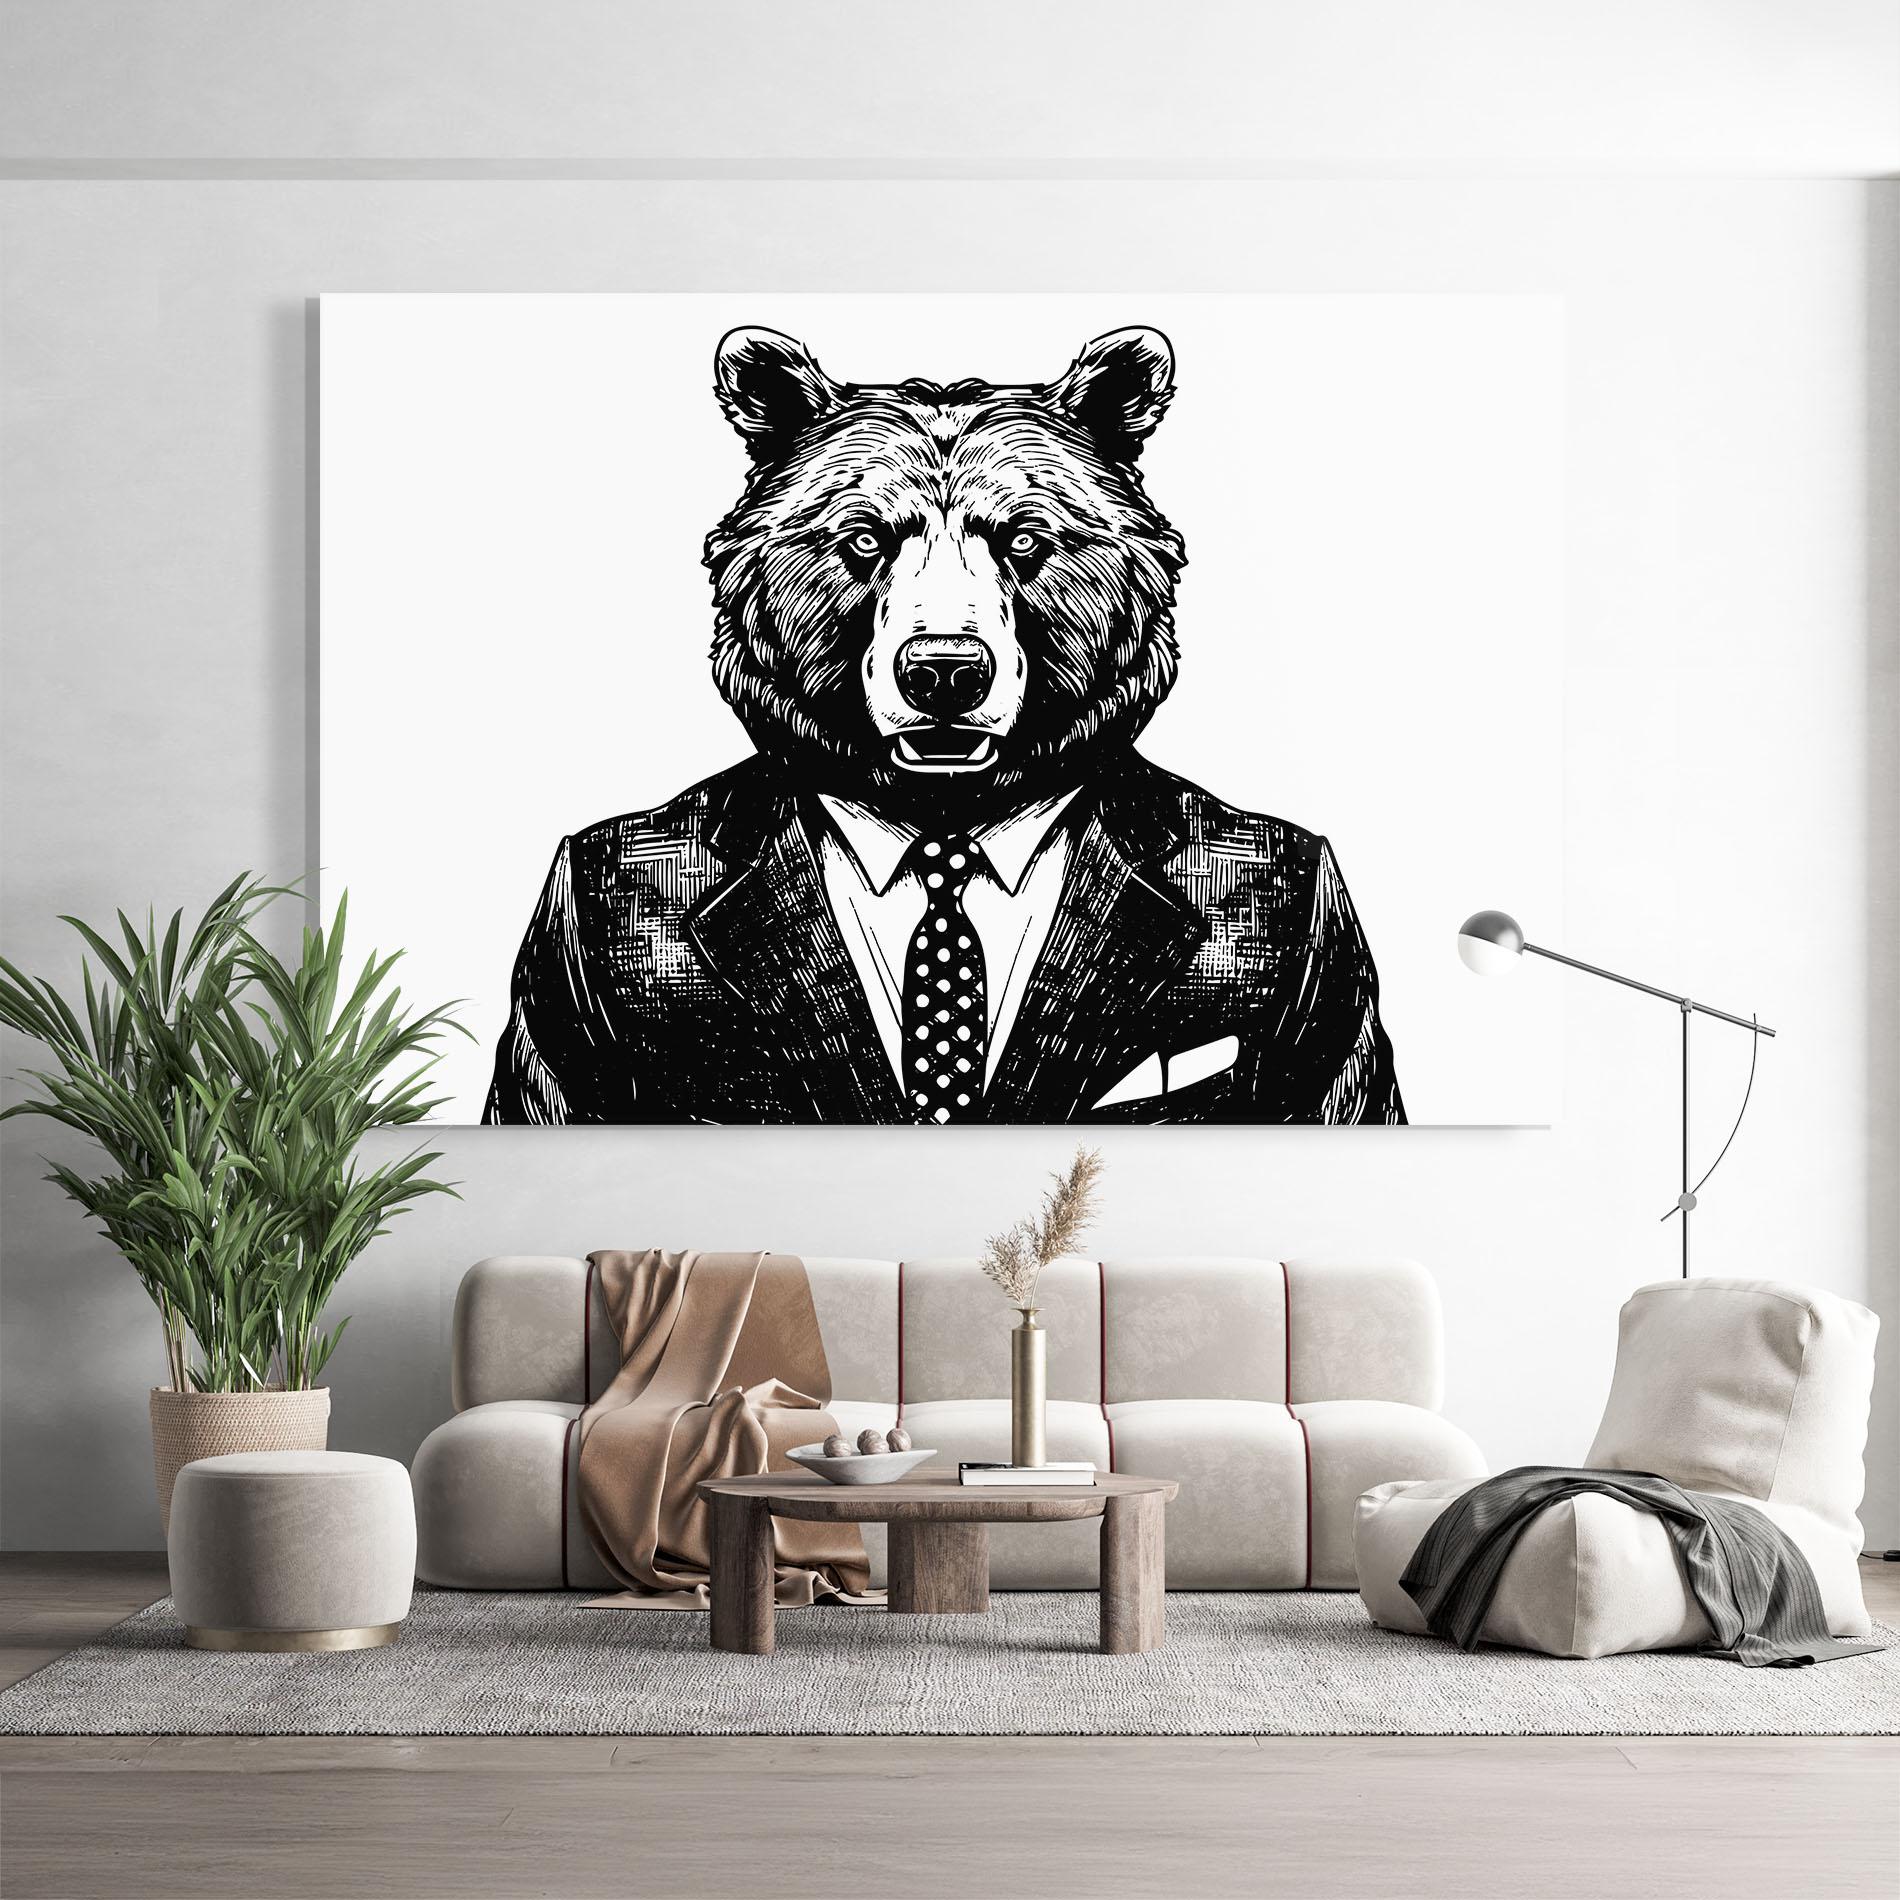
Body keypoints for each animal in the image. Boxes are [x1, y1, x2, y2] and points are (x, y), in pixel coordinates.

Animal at [485, 324, 1404, 1125]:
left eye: (1025, 537)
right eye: (863, 538)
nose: (945, 671)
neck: (944, 821)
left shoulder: (1319, 981)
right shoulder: (568, 988)